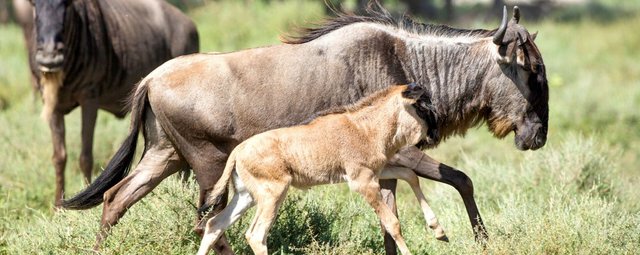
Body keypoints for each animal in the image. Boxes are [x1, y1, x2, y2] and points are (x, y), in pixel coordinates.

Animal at [200, 83, 444, 255]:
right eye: (423, 106)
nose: (435, 134)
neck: (366, 128)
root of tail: (238, 151)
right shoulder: (362, 182)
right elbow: (392, 223)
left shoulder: (373, 172)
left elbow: (410, 175)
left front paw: (439, 231)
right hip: (273, 194)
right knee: (256, 235)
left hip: (247, 196)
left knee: (214, 224)